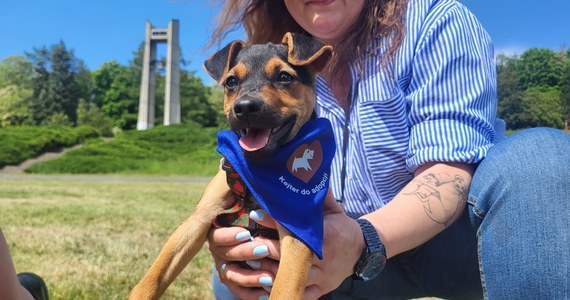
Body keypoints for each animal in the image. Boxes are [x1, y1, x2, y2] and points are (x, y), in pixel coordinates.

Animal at [127, 32, 332, 300]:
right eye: (231, 81)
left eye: (284, 77)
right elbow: (154, 275)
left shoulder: (298, 235)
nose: (244, 107)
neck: (254, 170)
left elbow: (284, 289)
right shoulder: (198, 219)